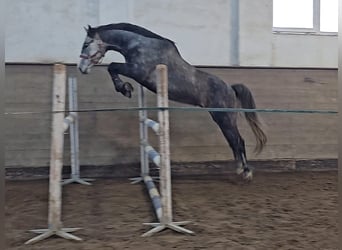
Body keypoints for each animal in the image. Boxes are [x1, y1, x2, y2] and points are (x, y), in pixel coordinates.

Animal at [78, 23, 268, 180]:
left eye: (86, 45)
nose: (81, 69)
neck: (140, 45)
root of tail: (230, 88)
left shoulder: (137, 70)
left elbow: (112, 67)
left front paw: (124, 88)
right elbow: (113, 68)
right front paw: (126, 88)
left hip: (225, 118)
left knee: (238, 141)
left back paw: (246, 172)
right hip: (221, 118)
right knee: (233, 142)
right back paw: (239, 169)